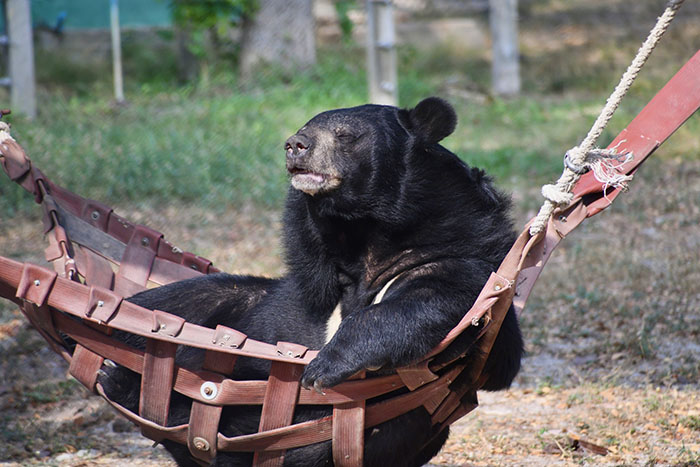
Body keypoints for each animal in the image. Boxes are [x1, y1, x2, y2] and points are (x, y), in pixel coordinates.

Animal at [98, 97, 524, 466]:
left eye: (344, 134)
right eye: (305, 128)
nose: (294, 145)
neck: (364, 231)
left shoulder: (460, 250)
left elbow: (432, 299)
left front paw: (324, 367)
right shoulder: (310, 274)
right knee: (177, 302)